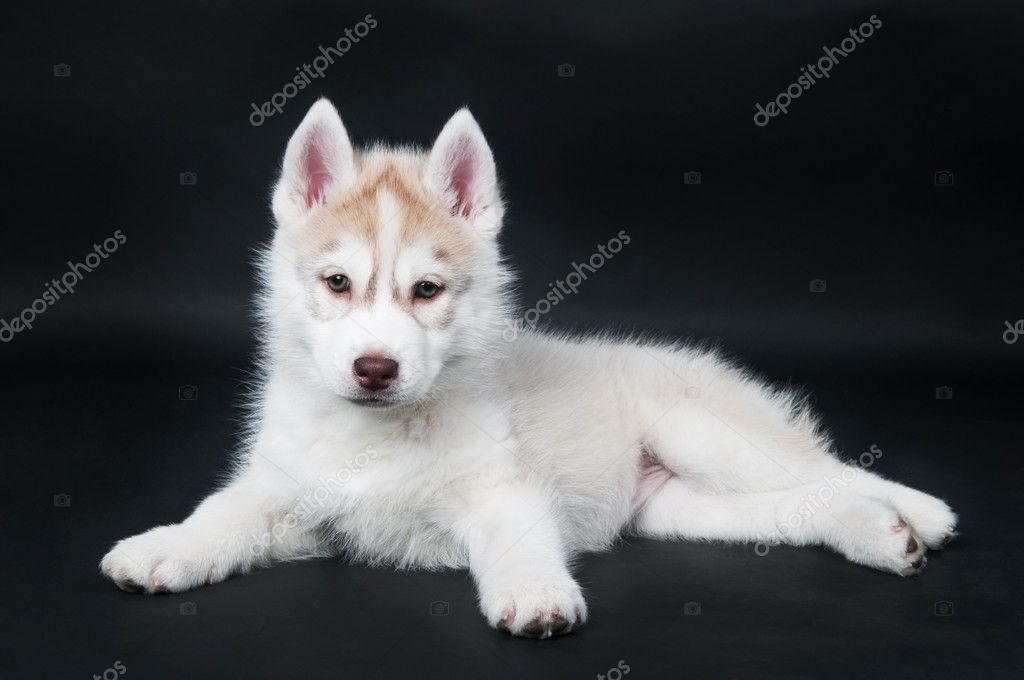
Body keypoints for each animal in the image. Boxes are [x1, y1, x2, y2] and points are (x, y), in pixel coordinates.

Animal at [99, 99, 954, 639]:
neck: (377, 437)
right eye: (338, 282)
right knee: (796, 505)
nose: (375, 368)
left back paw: (920, 512)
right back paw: (880, 535)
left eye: (427, 291)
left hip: (703, 433)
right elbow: (221, 515)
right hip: (679, 509)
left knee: (828, 468)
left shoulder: (503, 492)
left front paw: (537, 594)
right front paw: (163, 546)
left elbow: (519, 544)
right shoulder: (286, 493)